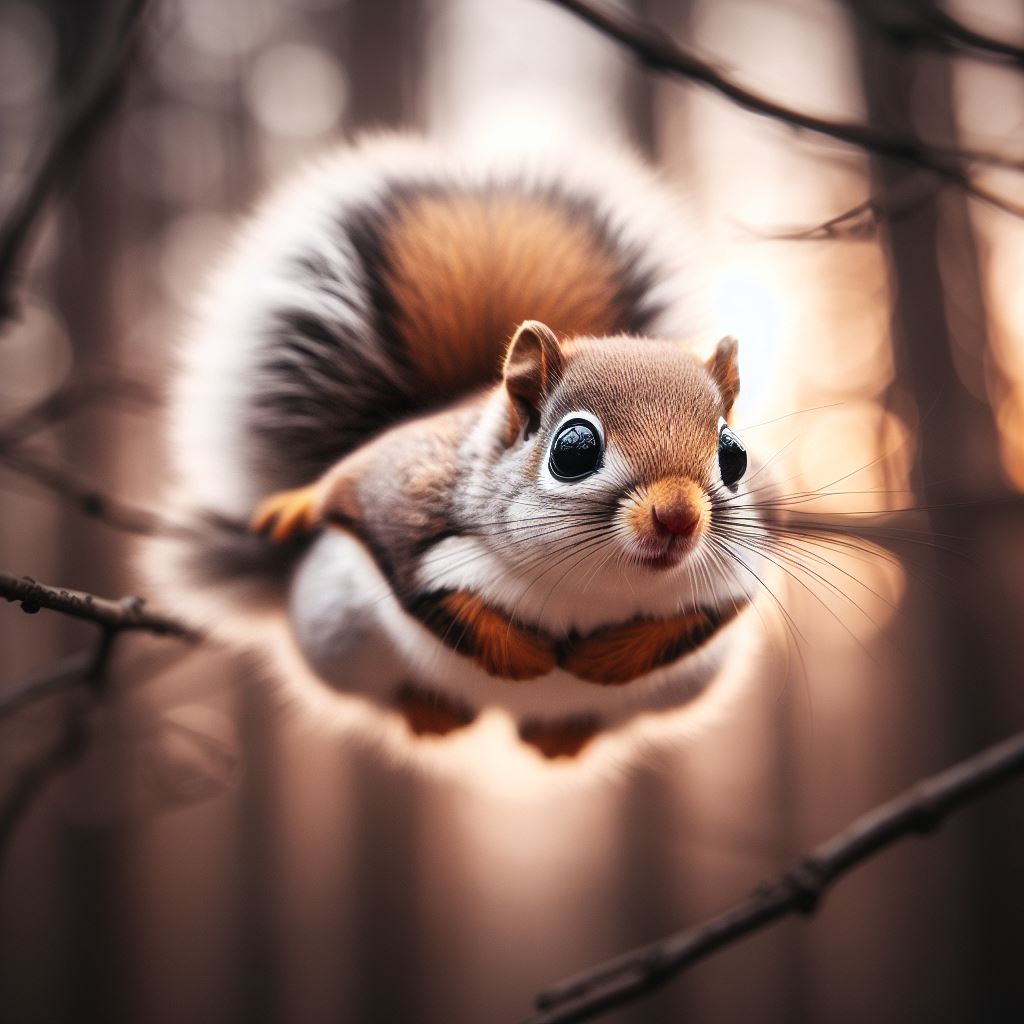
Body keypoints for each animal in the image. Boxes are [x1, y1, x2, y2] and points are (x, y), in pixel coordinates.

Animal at [145, 135, 774, 764]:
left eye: (735, 454)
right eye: (573, 448)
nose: (679, 517)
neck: (597, 580)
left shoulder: (746, 558)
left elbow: (709, 615)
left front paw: (610, 658)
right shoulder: (403, 494)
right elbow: (425, 591)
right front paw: (522, 656)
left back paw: (562, 732)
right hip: (337, 628)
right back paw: (431, 708)